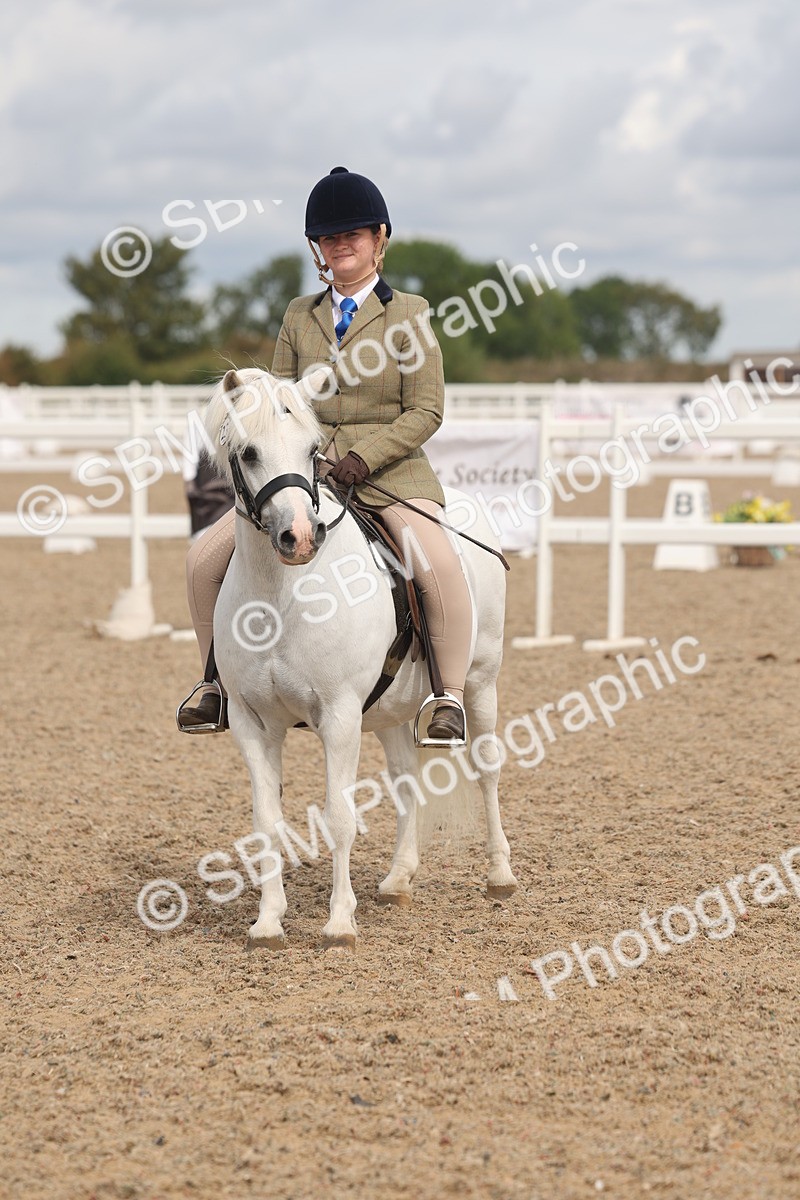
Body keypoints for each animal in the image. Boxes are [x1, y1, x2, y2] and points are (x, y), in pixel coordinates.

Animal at [203, 366, 517, 948]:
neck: (282, 593)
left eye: (311, 449)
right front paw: (268, 921)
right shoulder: (252, 722)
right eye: (249, 452)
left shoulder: (340, 716)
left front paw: (339, 923)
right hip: (391, 712)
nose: (301, 538)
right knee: (406, 780)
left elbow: (339, 818)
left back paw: (500, 875)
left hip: (481, 682)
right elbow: (266, 822)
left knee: (487, 768)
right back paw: (398, 879)